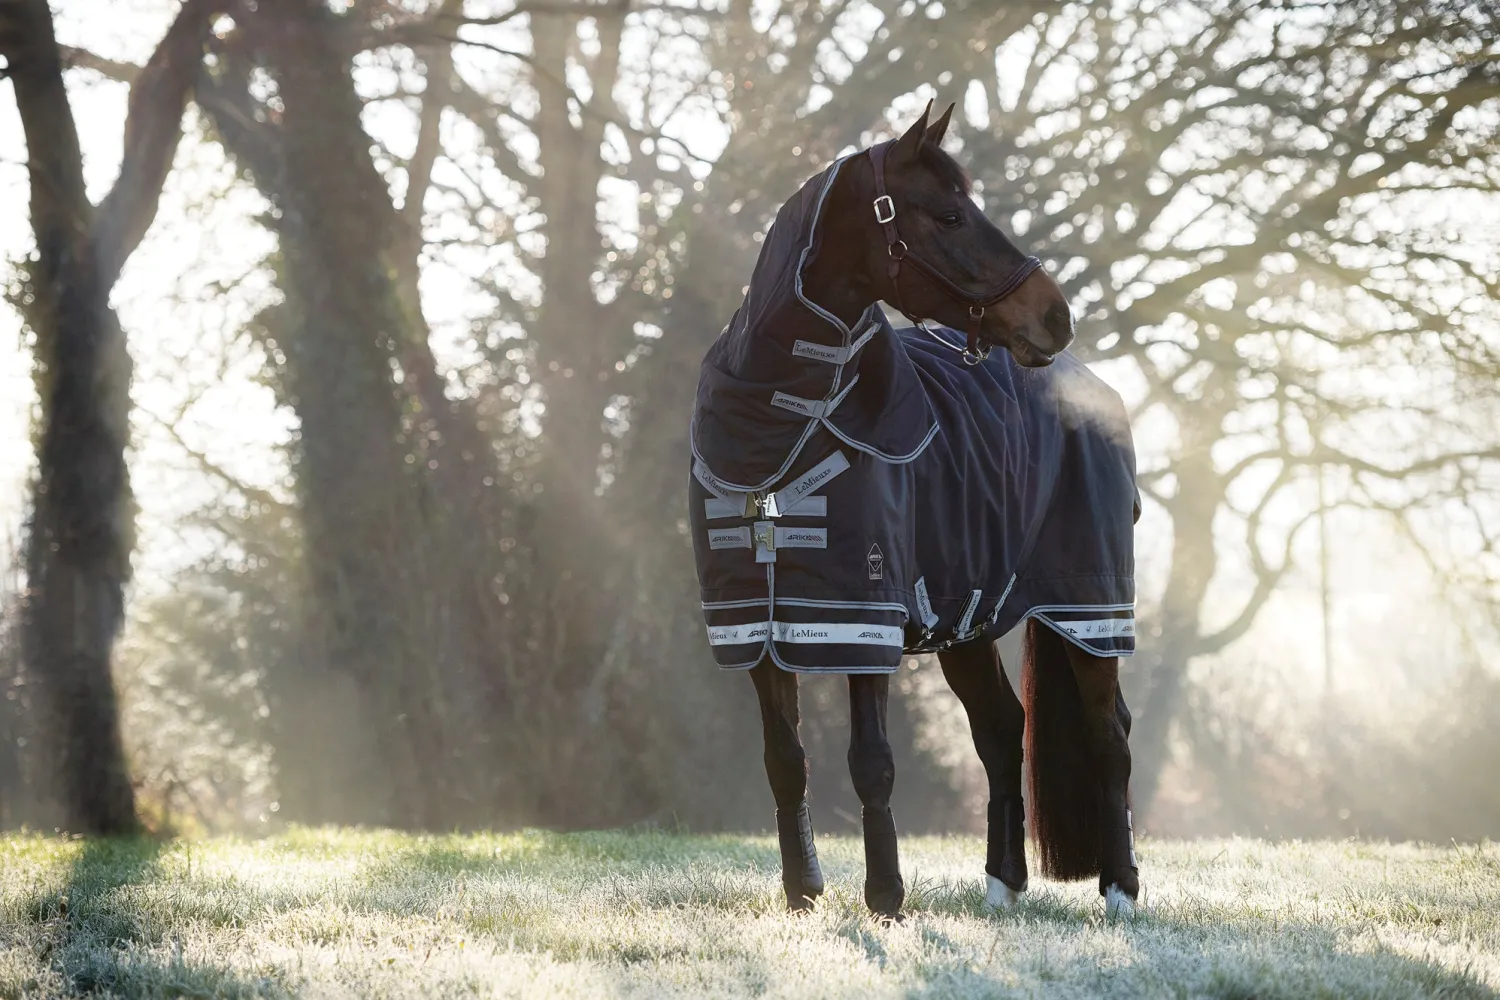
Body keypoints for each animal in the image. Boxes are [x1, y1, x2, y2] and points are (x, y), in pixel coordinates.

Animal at [688, 102, 1140, 921]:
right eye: (950, 214)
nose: (1055, 315)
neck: (786, 432)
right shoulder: (757, 630)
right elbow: (784, 761)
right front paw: (804, 895)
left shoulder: (862, 619)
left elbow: (871, 761)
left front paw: (886, 898)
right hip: (969, 619)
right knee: (1001, 730)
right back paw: (1002, 884)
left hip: (1091, 609)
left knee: (1108, 734)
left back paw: (1120, 889)